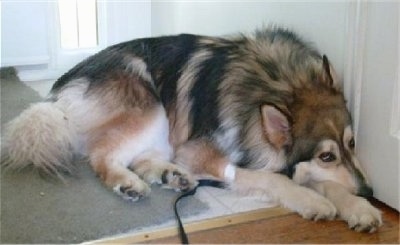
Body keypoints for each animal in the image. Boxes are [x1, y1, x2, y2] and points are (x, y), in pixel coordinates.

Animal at [3, 26, 384, 232]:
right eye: (326, 155)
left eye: (353, 143)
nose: (370, 191)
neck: (278, 83)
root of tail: (58, 96)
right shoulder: (198, 150)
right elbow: (272, 177)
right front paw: (312, 199)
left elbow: (320, 180)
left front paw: (358, 207)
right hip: (153, 107)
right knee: (101, 155)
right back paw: (128, 183)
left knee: (140, 157)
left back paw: (173, 176)